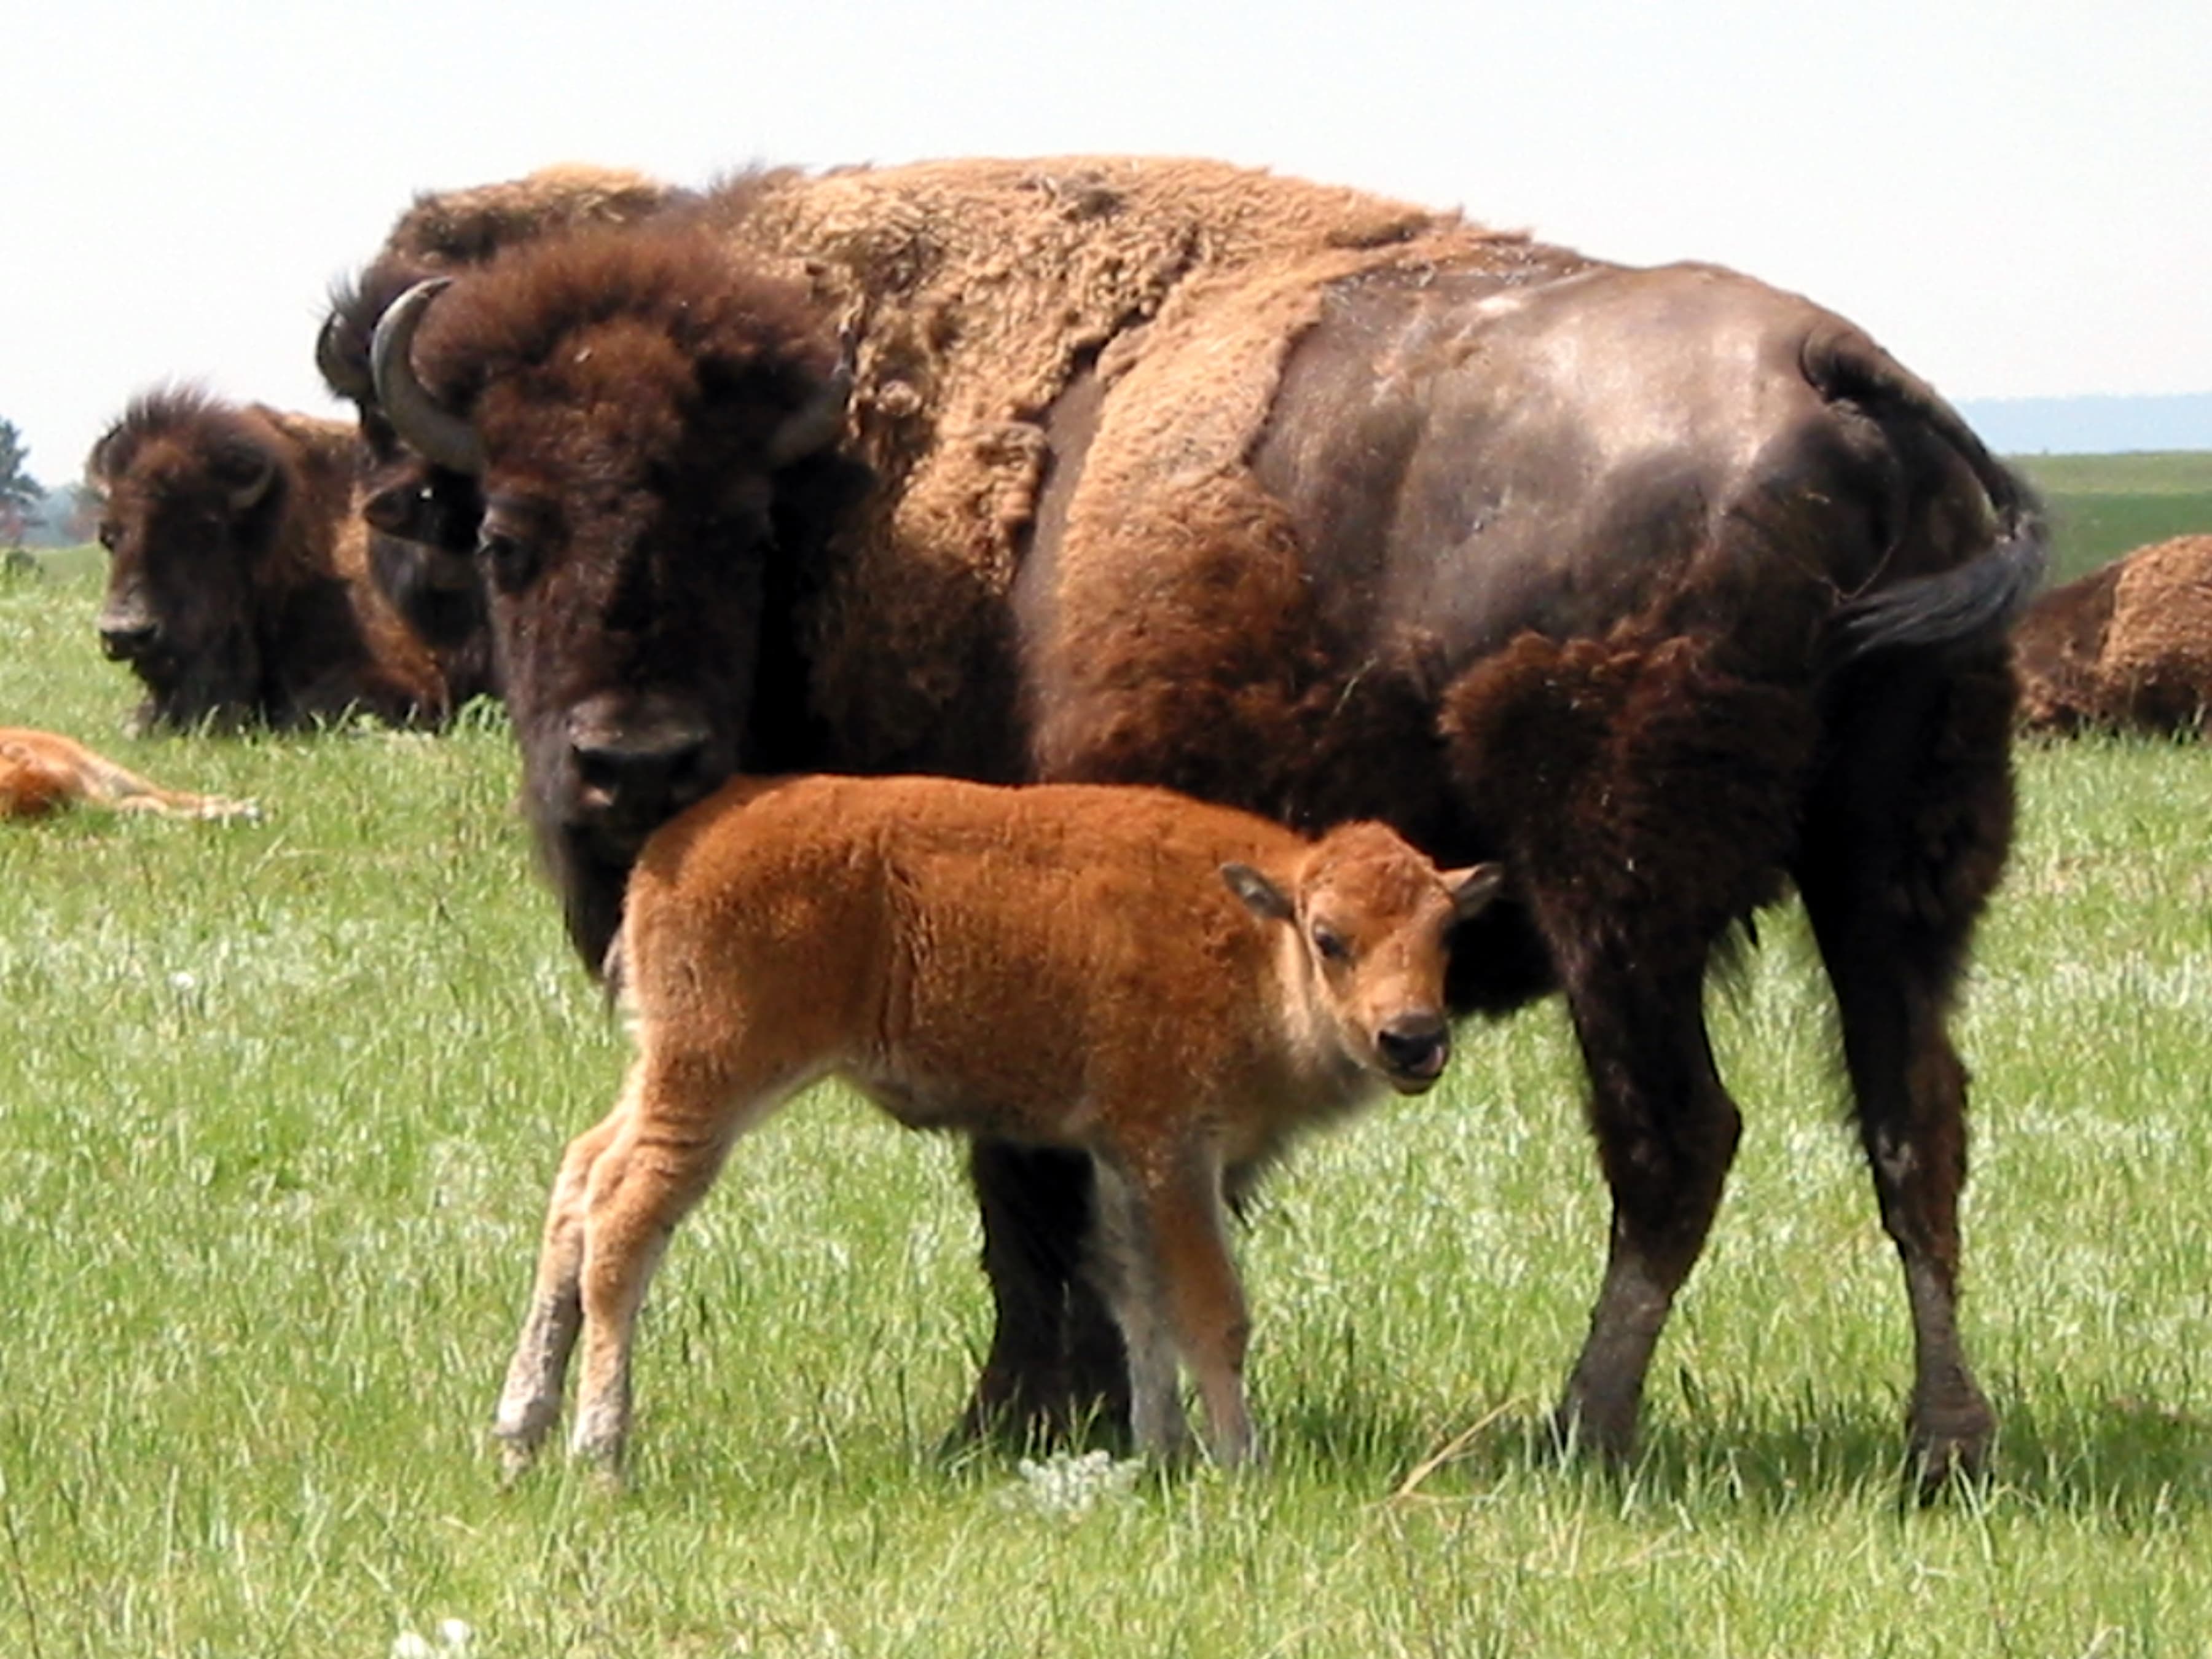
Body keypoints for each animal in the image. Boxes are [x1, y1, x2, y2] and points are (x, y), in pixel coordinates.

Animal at [496, 773, 1501, 1478]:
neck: (1256, 934)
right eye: (1330, 938)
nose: (1414, 1039)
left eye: (1445, 935)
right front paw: (1241, 1463)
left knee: (580, 1180)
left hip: (661, 1075)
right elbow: (1210, 1308)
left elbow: (1137, 1297)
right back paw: (601, 1456)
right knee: (626, 1223)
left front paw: (1163, 1452)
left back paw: (519, 1436)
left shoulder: (1120, 1156)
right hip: (713, 1084)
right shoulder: (1175, 1150)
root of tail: (672, 850)